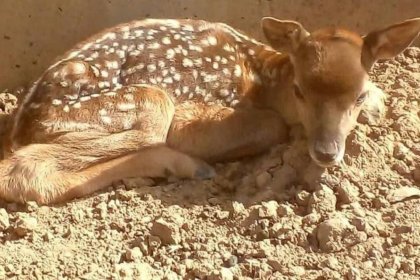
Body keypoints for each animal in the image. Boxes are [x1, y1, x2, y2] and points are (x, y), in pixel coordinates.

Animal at [0, 17, 418, 205]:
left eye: (359, 96)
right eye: (300, 90)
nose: (327, 152)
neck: (269, 78)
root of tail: (22, 124)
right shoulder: (198, 113)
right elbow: (271, 126)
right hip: (142, 102)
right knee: (22, 170)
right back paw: (186, 165)